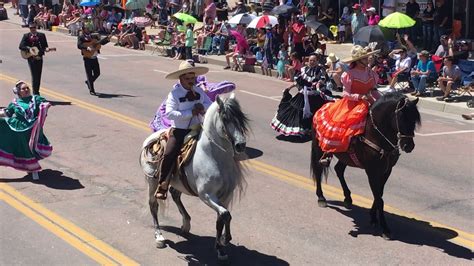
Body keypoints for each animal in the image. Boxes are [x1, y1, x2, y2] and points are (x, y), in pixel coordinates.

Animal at [140, 94, 250, 262]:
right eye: (225, 118)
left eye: (241, 117)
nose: (240, 145)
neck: (214, 156)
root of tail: (151, 138)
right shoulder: (206, 195)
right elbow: (225, 214)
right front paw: (225, 240)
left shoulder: (225, 196)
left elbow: (222, 218)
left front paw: (220, 248)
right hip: (152, 182)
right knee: (153, 205)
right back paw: (159, 236)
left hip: (177, 182)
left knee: (175, 195)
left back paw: (186, 224)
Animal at [312, 92, 422, 240]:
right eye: (402, 118)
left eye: (414, 120)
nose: (409, 146)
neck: (376, 135)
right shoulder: (372, 172)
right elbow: (379, 199)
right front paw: (385, 228)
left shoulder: (386, 171)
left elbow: (379, 194)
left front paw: (373, 218)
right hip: (318, 148)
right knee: (318, 171)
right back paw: (321, 198)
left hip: (346, 157)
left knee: (339, 170)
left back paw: (348, 198)